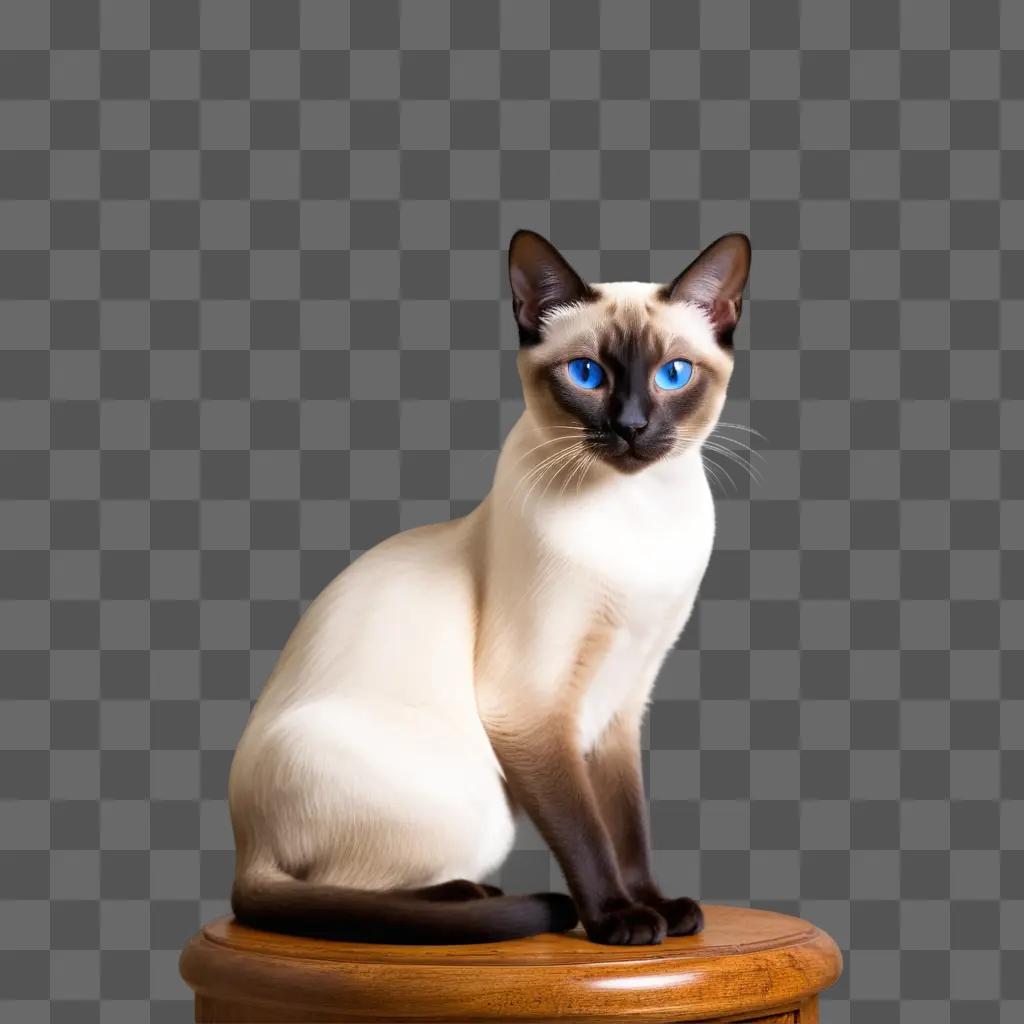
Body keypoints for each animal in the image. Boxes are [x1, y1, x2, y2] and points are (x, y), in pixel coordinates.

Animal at [230, 228, 753, 946]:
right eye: (587, 375)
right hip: (476, 804)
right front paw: (619, 919)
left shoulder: (623, 701)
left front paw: (658, 907)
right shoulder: (531, 706)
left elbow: (628, 824)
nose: (631, 427)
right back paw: (472, 895)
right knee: (341, 891)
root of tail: (243, 842)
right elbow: (585, 829)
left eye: (672, 374)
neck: (638, 519)